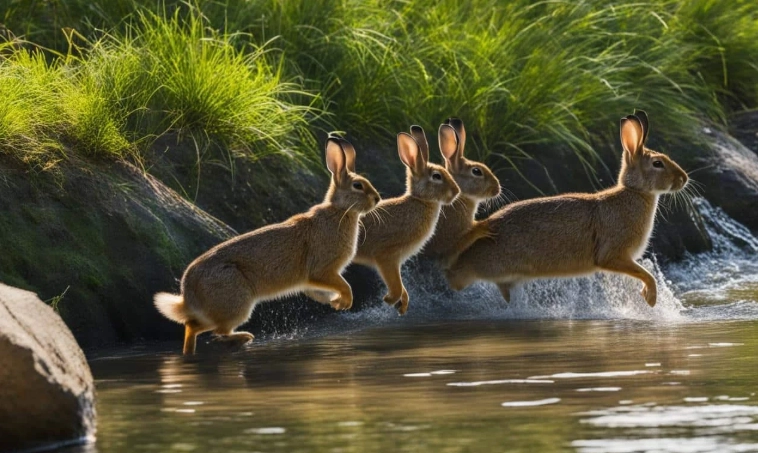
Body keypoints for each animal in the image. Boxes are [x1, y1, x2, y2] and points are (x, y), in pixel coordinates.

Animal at [154, 136, 381, 354]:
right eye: (358, 186)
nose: (377, 199)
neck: (341, 211)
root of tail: (188, 295)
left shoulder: (311, 281)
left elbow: (320, 293)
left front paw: (336, 303)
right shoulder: (323, 270)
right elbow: (344, 284)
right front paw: (346, 301)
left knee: (193, 326)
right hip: (236, 303)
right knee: (207, 328)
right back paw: (243, 337)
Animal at [351, 125, 461, 314]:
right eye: (437, 176)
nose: (456, 192)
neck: (420, 201)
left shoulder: (396, 263)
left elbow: (400, 284)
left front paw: (402, 305)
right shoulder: (387, 256)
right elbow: (395, 284)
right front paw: (389, 300)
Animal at [446, 110, 688, 307]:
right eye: (658, 164)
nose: (684, 179)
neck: (634, 192)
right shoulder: (613, 255)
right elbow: (646, 274)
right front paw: (651, 299)